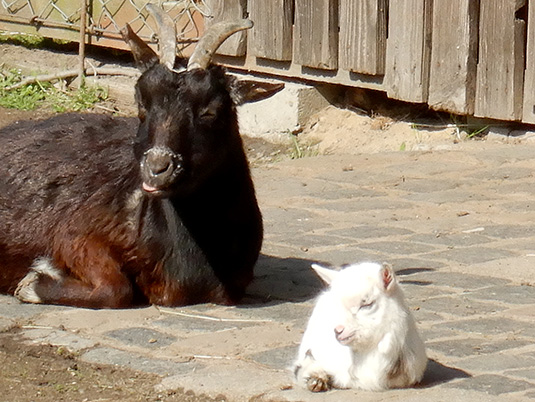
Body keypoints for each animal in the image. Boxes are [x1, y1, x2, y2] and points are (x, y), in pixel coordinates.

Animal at [0, 6, 284, 308]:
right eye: (141, 105)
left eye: (210, 111)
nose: (157, 168)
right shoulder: (74, 232)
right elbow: (116, 289)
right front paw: (33, 283)